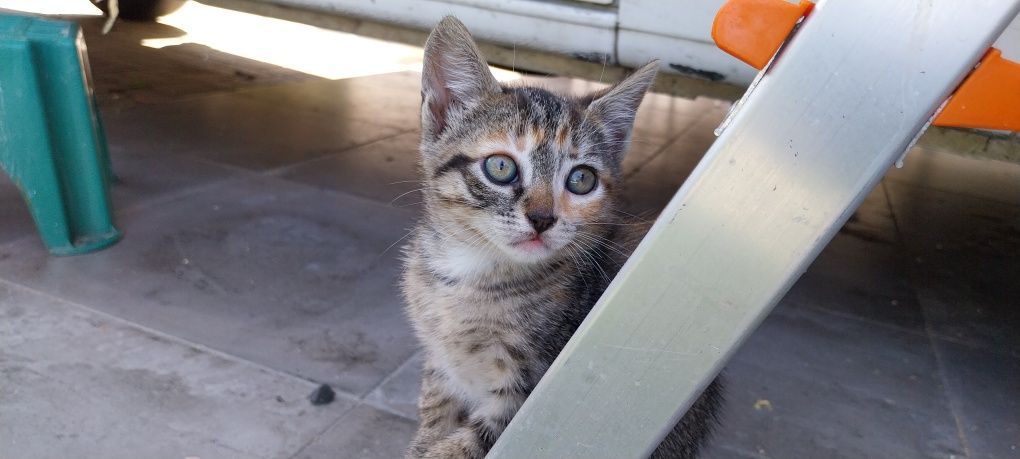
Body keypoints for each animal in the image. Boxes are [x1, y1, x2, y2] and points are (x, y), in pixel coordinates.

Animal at [399, 15, 726, 459]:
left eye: (581, 179)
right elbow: (432, 419)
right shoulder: (440, 366)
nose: (542, 219)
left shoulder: (531, 396)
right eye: (500, 167)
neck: (472, 275)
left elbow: (465, 445)